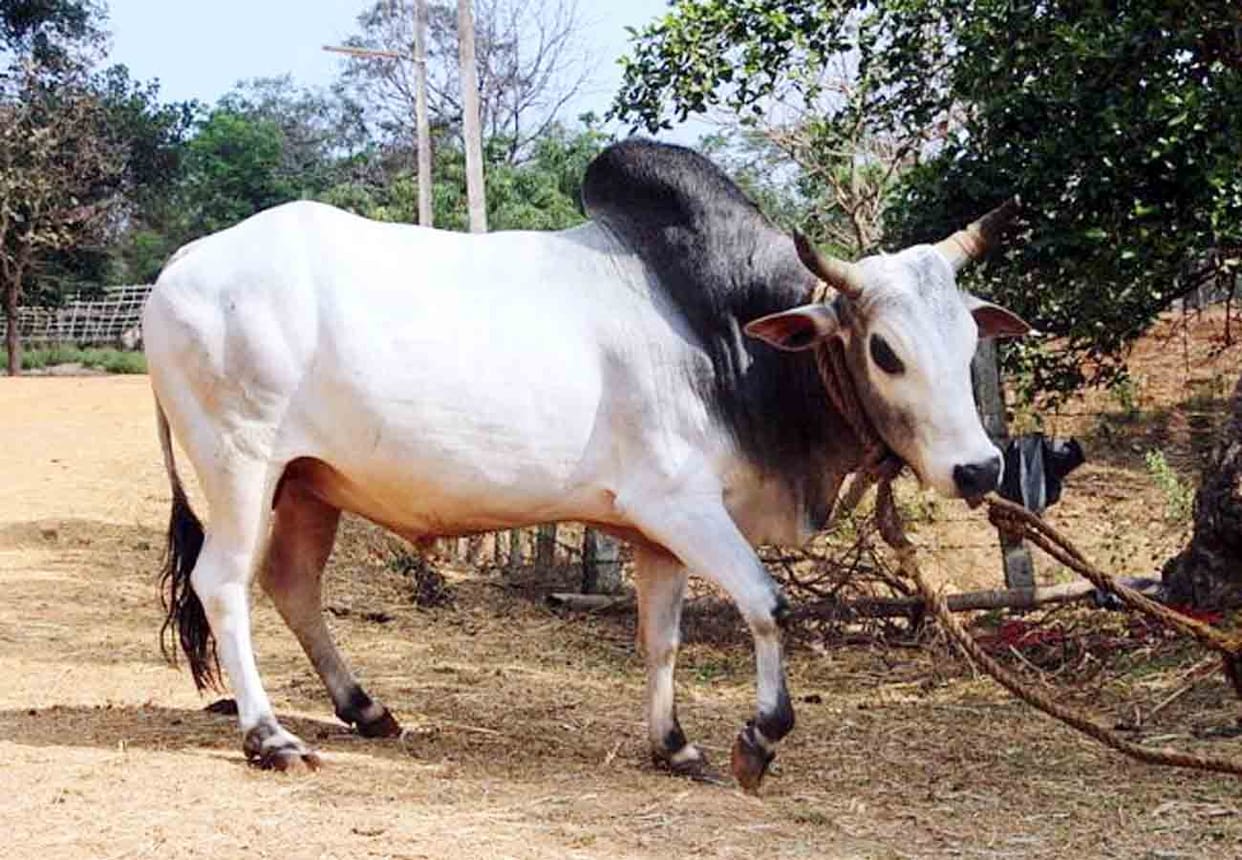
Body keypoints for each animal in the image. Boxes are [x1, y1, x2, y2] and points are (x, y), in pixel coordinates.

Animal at [144, 138, 1029, 791]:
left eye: (967, 341)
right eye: (884, 350)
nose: (979, 470)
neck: (727, 336)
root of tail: (178, 267)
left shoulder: (658, 535)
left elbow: (661, 638)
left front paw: (674, 745)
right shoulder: (683, 508)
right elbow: (769, 607)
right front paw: (758, 738)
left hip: (307, 483)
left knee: (291, 584)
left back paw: (365, 709)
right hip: (242, 467)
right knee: (223, 583)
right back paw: (269, 736)